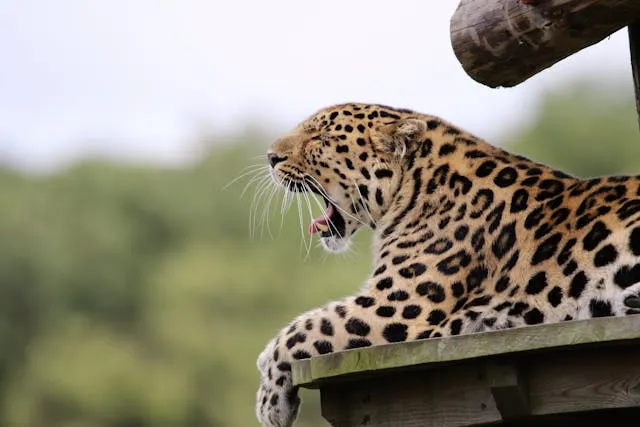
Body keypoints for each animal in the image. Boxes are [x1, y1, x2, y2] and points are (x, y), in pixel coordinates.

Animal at [255, 102, 640, 427]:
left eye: (321, 138)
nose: (271, 156)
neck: (414, 187)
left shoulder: (396, 307)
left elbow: (305, 327)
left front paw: (269, 400)